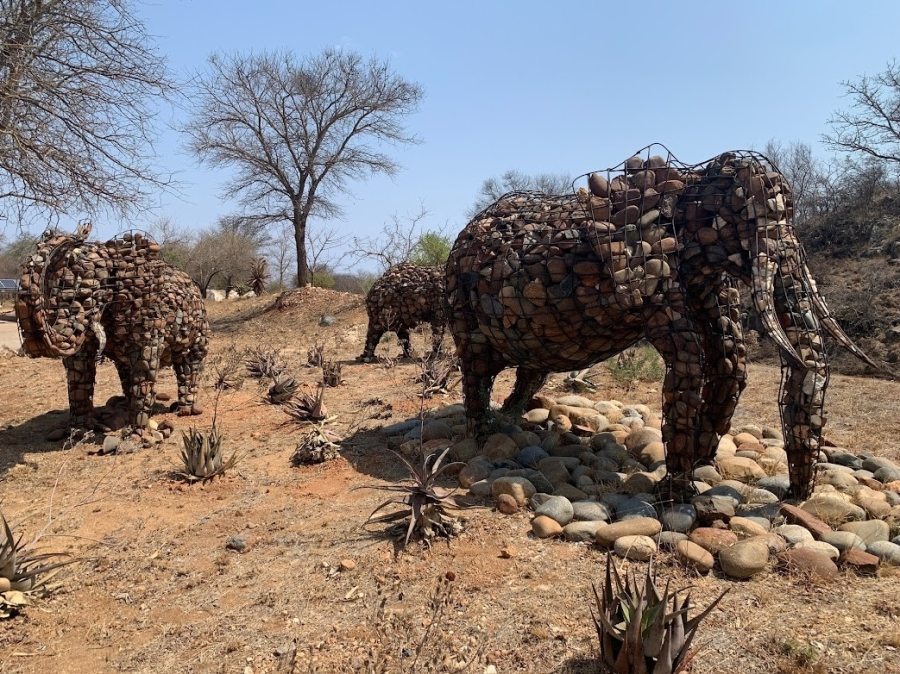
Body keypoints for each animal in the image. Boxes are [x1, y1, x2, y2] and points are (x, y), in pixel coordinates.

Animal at [16, 224, 210, 437]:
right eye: (50, 288)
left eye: (91, 288)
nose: (81, 232)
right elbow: (78, 366)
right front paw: (78, 431)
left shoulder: (150, 320)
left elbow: (145, 364)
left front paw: (135, 435)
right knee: (125, 369)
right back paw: (124, 407)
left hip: (199, 329)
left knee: (190, 362)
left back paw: (186, 410)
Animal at [445, 148, 875, 500]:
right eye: (749, 220)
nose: (792, 498)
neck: (690, 178)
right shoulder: (650, 272)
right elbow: (689, 359)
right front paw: (675, 493)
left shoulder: (701, 273)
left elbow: (730, 357)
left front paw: (700, 465)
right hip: (462, 301)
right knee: (477, 366)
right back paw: (484, 435)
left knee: (529, 370)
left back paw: (511, 419)